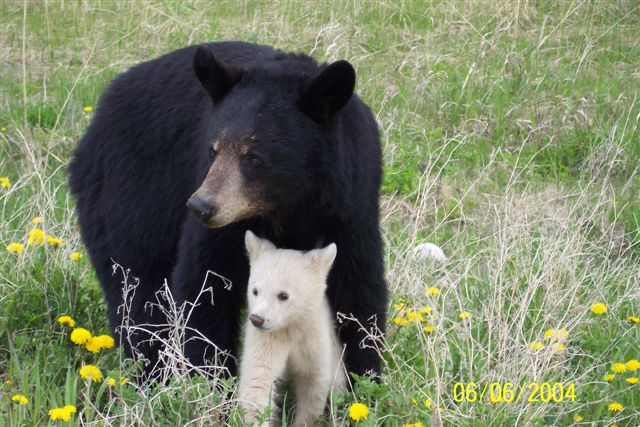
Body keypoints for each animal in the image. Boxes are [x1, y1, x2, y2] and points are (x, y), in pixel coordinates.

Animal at [68, 41, 388, 380]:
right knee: (137, 285)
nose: (200, 206)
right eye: (213, 149)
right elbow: (205, 285)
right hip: (128, 194)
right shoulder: (224, 222)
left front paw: (364, 375)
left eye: (254, 157)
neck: (289, 204)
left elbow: (356, 289)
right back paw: (151, 368)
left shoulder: (349, 204)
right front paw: (208, 376)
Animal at [238, 231, 344, 427]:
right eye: (255, 290)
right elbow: (258, 379)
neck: (290, 327)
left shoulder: (312, 336)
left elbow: (313, 383)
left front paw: (303, 421)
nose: (257, 319)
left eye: (283, 295)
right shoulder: (267, 339)